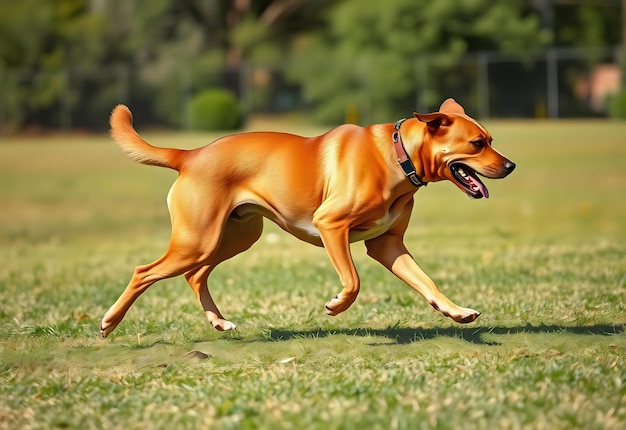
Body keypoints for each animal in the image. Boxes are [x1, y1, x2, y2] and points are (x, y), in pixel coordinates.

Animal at [100, 99, 516, 338]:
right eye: (477, 143)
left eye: (491, 139)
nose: (511, 166)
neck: (398, 157)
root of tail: (189, 155)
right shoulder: (330, 224)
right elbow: (353, 282)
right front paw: (335, 305)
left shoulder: (387, 244)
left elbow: (426, 282)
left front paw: (456, 311)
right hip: (197, 239)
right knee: (144, 271)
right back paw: (109, 322)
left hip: (234, 237)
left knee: (195, 275)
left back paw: (219, 322)